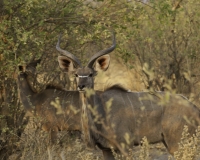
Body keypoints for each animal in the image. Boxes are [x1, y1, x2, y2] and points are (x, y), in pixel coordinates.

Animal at [55, 33, 200, 159]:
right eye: (76, 74)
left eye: (91, 74)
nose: (81, 86)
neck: (102, 110)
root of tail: (193, 107)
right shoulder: (106, 149)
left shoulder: (125, 146)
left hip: (176, 142)